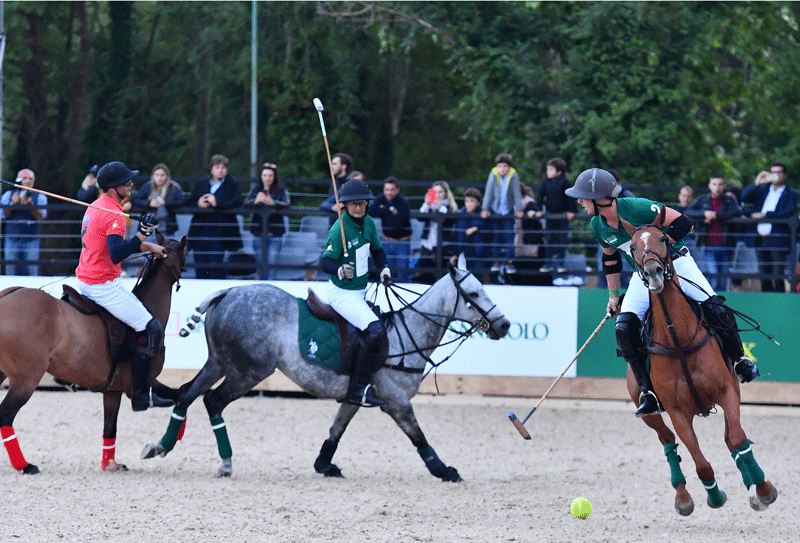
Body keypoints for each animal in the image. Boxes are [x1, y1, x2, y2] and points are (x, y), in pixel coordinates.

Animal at [0, 232, 188, 474]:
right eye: (184, 256)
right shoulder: (144, 382)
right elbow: (180, 395)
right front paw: (166, 443)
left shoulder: (113, 391)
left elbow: (110, 428)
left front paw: (110, 464)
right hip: (26, 379)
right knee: (6, 415)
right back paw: (25, 465)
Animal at [141, 254, 510, 480]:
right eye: (474, 293)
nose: (505, 325)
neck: (408, 334)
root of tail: (227, 291)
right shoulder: (396, 401)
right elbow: (418, 436)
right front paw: (444, 470)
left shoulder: (355, 394)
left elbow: (336, 429)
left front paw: (324, 464)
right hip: (249, 371)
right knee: (212, 401)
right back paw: (226, 461)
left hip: (219, 362)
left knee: (186, 394)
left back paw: (159, 446)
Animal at [620, 208, 780, 520]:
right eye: (631, 247)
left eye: (662, 239)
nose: (654, 273)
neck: (678, 338)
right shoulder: (677, 411)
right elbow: (701, 463)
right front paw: (714, 496)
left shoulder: (727, 391)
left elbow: (738, 440)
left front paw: (764, 491)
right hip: (646, 407)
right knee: (667, 440)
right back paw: (682, 496)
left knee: (732, 439)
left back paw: (752, 486)